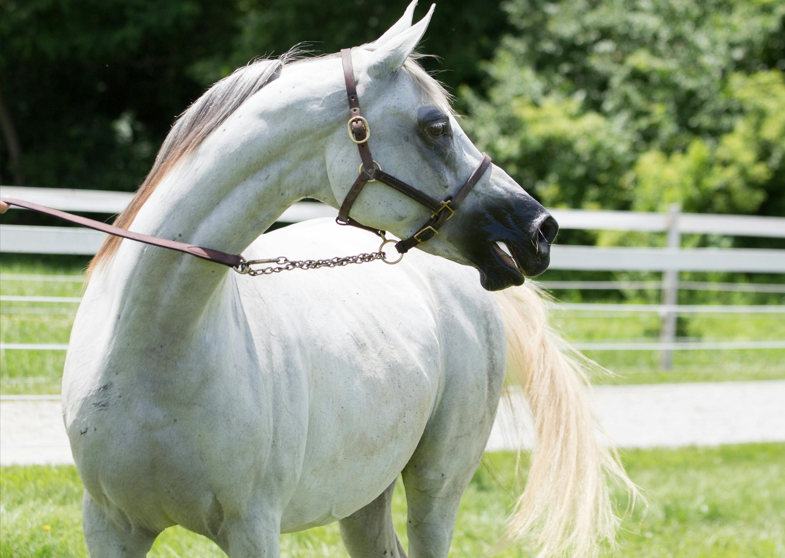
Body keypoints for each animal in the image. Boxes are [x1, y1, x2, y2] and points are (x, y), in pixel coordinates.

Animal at [61, 3, 632, 557]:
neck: (156, 347)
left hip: (437, 486)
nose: (539, 230)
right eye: (436, 126)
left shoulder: (253, 529)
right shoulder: (109, 527)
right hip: (363, 494)